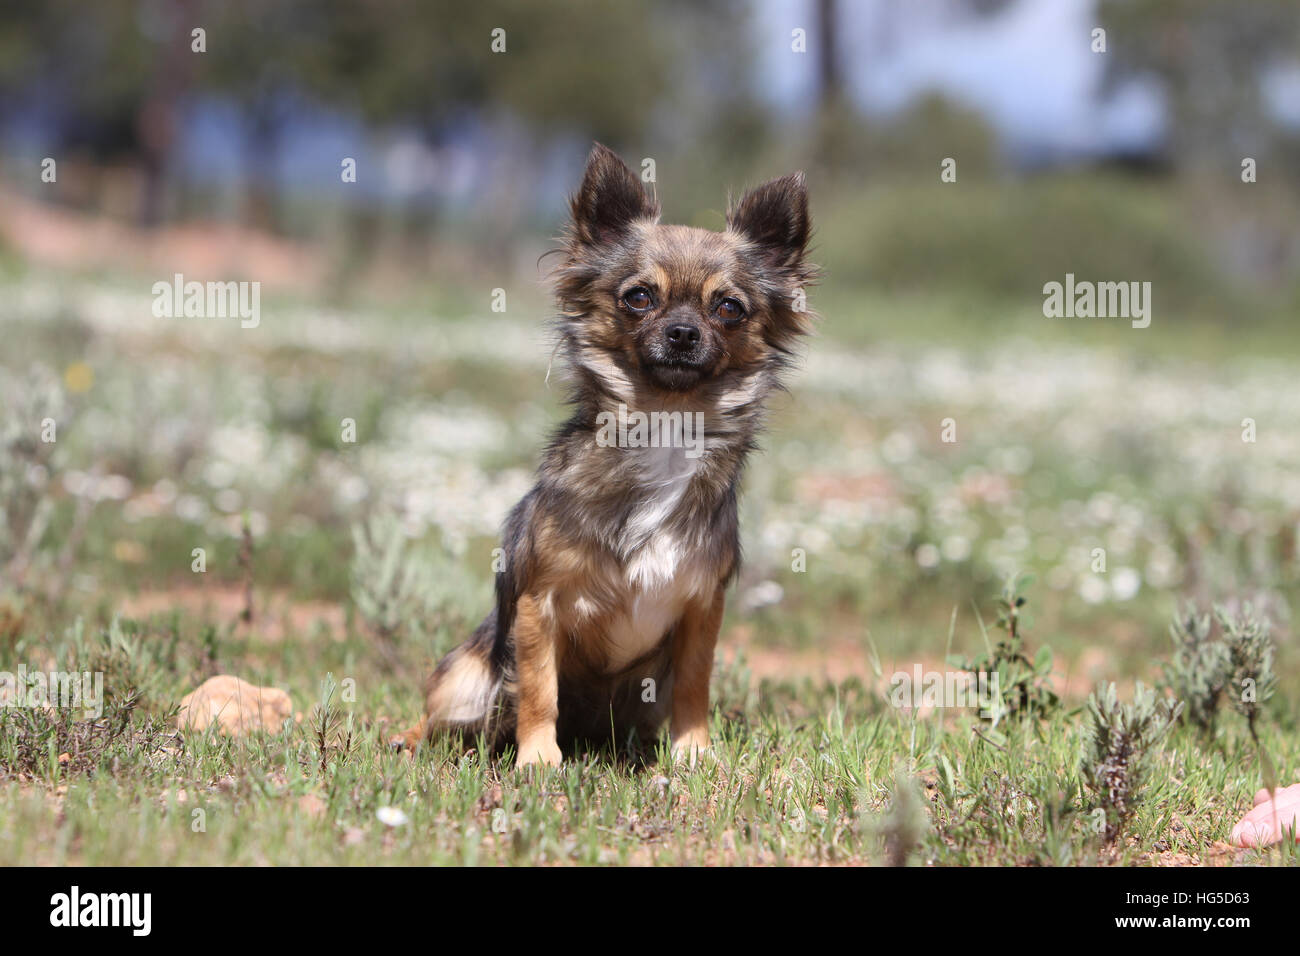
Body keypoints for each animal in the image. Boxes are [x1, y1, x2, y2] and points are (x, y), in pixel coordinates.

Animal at [413, 143, 811, 770]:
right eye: (639, 297)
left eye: (728, 307)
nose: (681, 333)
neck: (664, 430)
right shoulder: (538, 605)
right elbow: (538, 688)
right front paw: (538, 760)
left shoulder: (702, 608)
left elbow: (695, 683)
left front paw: (694, 753)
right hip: (467, 677)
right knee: (438, 714)